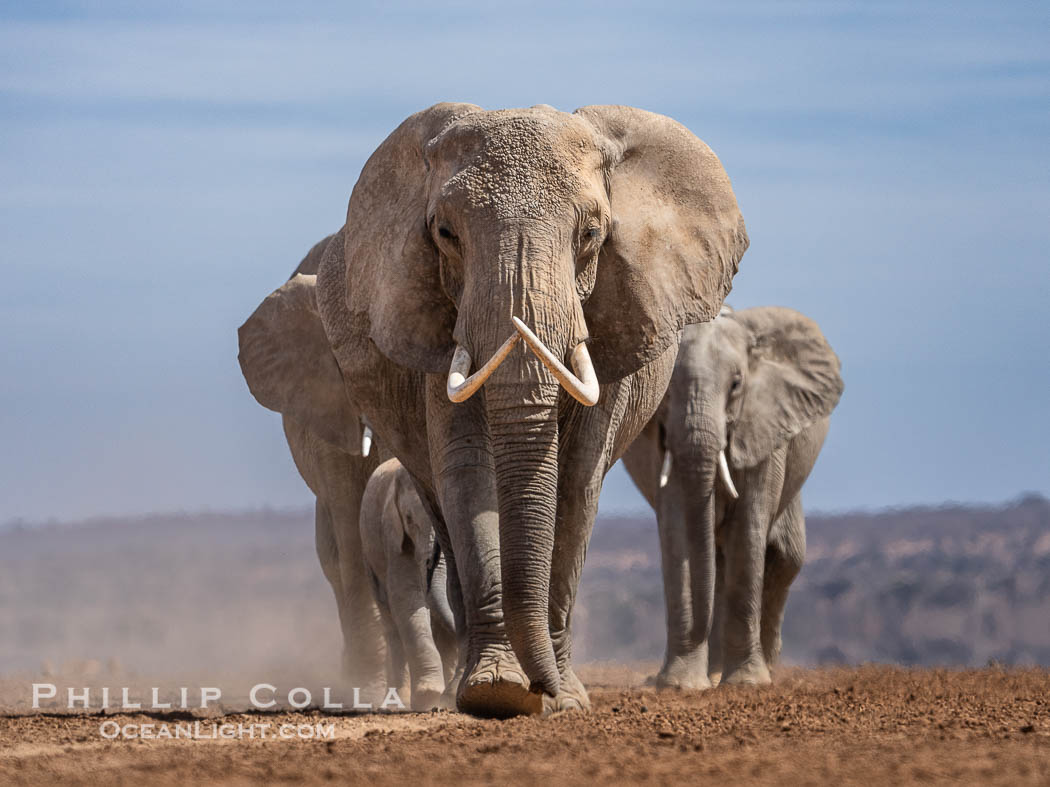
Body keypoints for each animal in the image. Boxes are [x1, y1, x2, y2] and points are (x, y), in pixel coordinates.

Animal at [359, 459, 457, 713]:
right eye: (410, 519)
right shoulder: (393, 535)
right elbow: (406, 597)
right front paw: (428, 695)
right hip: (369, 555)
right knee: (391, 624)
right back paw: (398, 701)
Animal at [621, 306, 844, 688]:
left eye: (737, 384)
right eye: (664, 391)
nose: (652, 680)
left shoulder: (764, 422)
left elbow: (749, 529)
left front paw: (748, 684)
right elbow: (678, 528)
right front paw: (680, 686)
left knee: (784, 557)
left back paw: (760, 669)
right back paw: (713, 673)